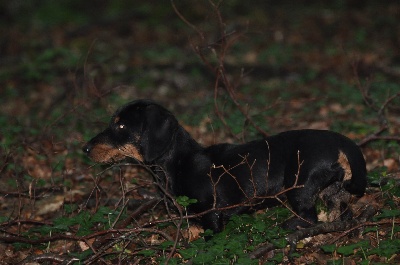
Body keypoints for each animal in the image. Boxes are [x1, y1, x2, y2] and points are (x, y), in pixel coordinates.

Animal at [83, 100, 368, 232]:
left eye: (121, 126)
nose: (84, 149)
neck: (179, 162)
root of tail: (340, 140)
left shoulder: (211, 217)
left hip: (299, 187)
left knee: (309, 218)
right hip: (333, 191)